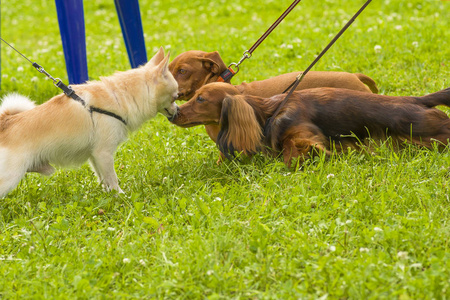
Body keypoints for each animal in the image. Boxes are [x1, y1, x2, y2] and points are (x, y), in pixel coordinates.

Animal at [0, 47, 179, 197]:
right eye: (175, 97)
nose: (178, 110)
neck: (119, 96)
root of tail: (5, 122)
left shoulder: (95, 155)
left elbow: (103, 178)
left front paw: (108, 194)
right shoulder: (104, 153)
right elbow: (112, 178)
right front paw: (120, 196)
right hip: (11, 176)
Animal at [170, 82, 450, 166]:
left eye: (201, 99)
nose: (173, 114)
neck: (268, 113)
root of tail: (418, 100)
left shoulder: (300, 131)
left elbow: (293, 149)